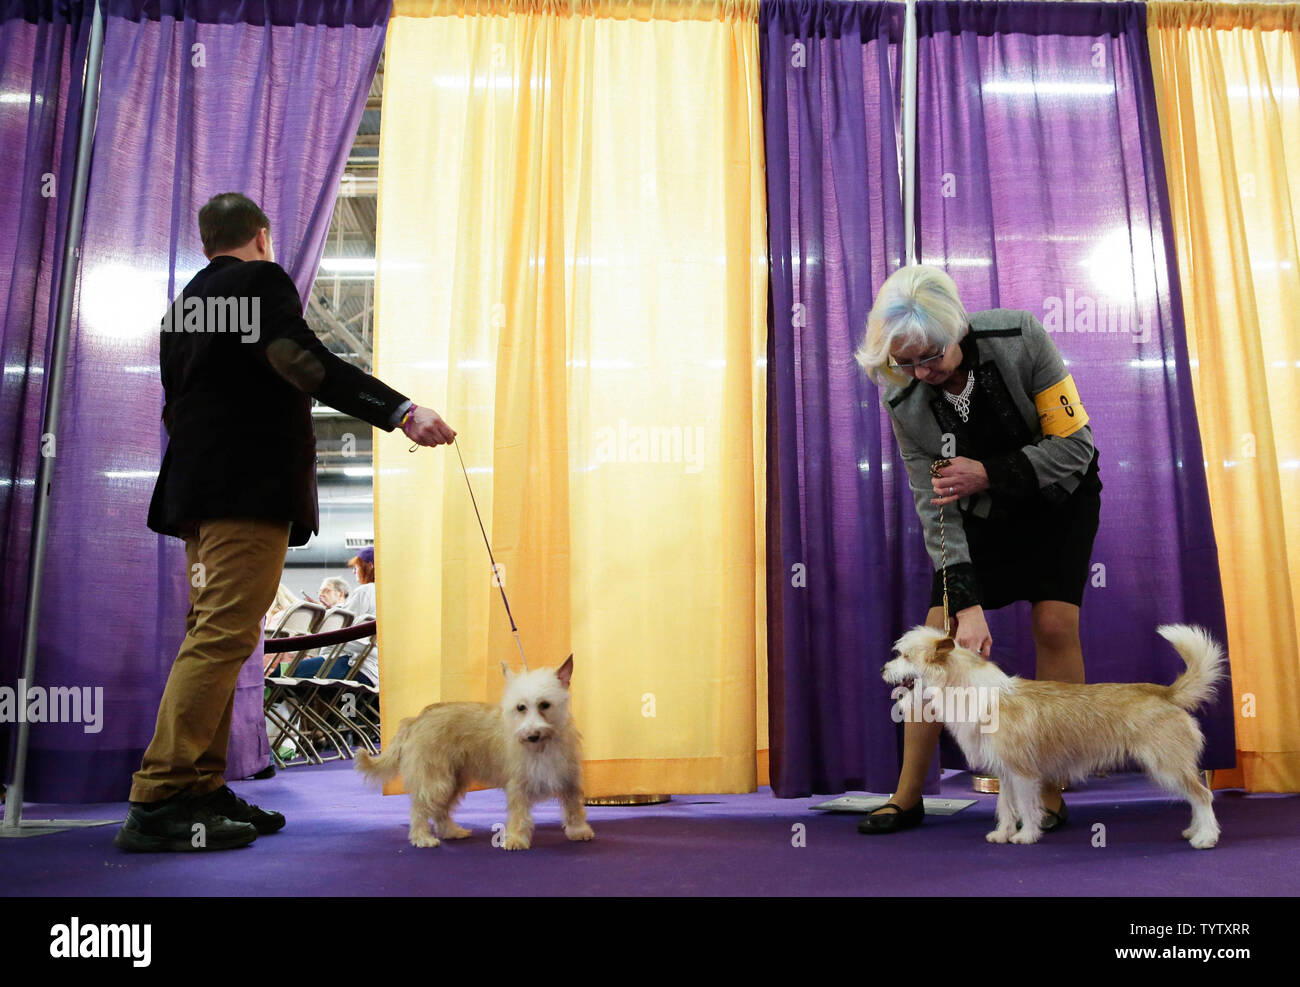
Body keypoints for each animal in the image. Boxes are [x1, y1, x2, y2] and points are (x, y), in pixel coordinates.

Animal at [358, 655, 595, 847]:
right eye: (521, 707)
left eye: (545, 704)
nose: (531, 735)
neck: (543, 746)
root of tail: (417, 718)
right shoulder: (518, 784)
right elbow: (520, 815)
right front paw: (516, 840)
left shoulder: (569, 779)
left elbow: (574, 809)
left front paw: (579, 832)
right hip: (435, 780)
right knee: (420, 810)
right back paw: (422, 838)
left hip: (452, 781)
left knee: (440, 811)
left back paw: (452, 832)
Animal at [878, 624, 1222, 847]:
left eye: (905, 656)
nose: (882, 669)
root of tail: (1166, 692)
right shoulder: (1005, 773)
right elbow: (1005, 808)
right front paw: (1002, 834)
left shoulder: (1024, 773)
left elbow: (1028, 807)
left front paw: (1026, 836)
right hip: (1172, 766)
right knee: (1195, 797)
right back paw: (1194, 831)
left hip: (1168, 765)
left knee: (1202, 796)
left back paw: (1206, 837)